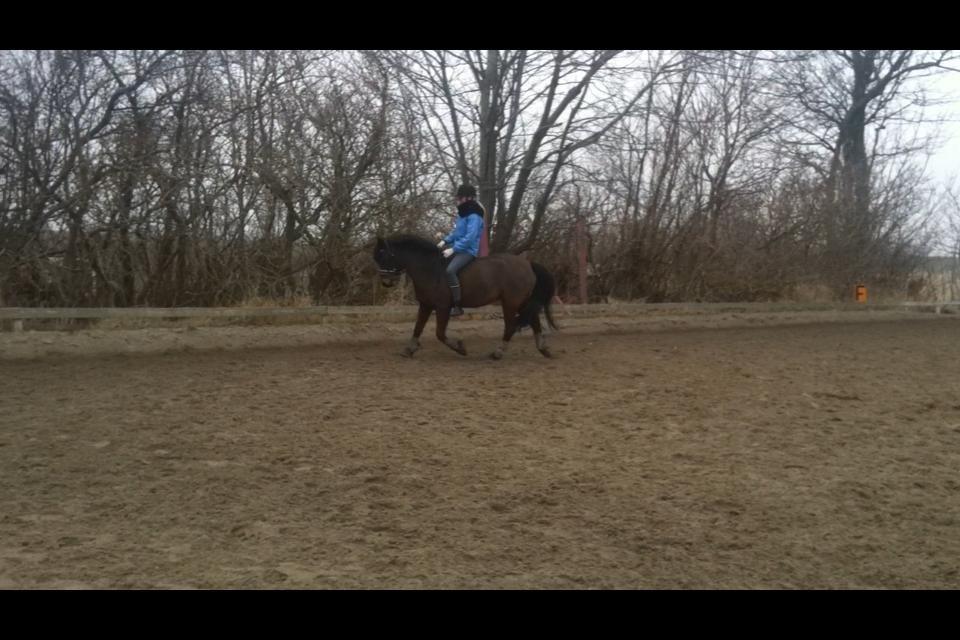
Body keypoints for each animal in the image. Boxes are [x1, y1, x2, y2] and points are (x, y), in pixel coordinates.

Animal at [374, 234, 560, 358]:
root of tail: (528, 264)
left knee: (510, 326)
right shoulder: (425, 305)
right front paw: (409, 349)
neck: (430, 269)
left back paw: (498, 353)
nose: (386, 282)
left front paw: (460, 348)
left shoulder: (442, 307)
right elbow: (417, 328)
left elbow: (440, 333)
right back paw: (543, 349)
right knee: (534, 321)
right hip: (522, 302)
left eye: (384, 256)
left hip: (511, 303)